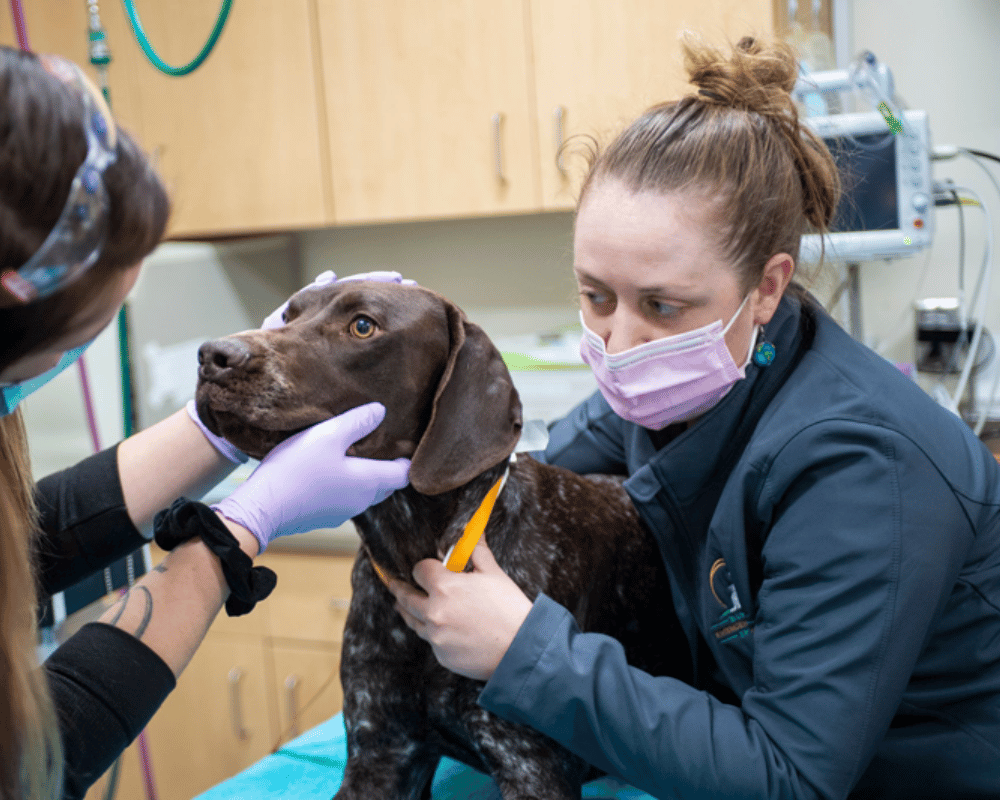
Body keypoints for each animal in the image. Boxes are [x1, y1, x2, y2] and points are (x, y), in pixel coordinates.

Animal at [193, 282, 680, 800]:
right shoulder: (381, 752)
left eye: (362, 326)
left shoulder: (531, 766)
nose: (212, 355)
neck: (413, 544)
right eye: (288, 315)